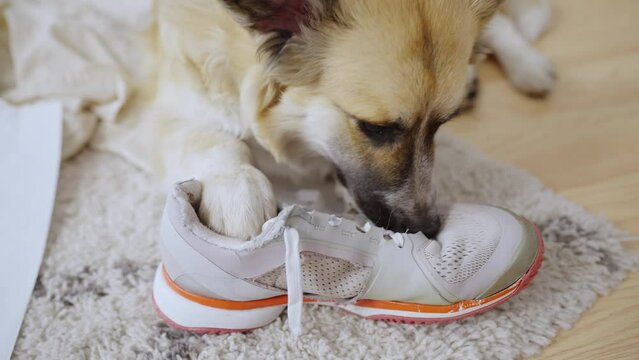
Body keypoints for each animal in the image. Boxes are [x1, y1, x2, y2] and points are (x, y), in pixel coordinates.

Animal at [135, 0, 556, 242]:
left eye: (443, 124)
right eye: (377, 129)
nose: (428, 229)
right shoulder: (159, 108)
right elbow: (211, 139)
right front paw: (236, 190)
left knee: (500, 23)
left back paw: (529, 66)